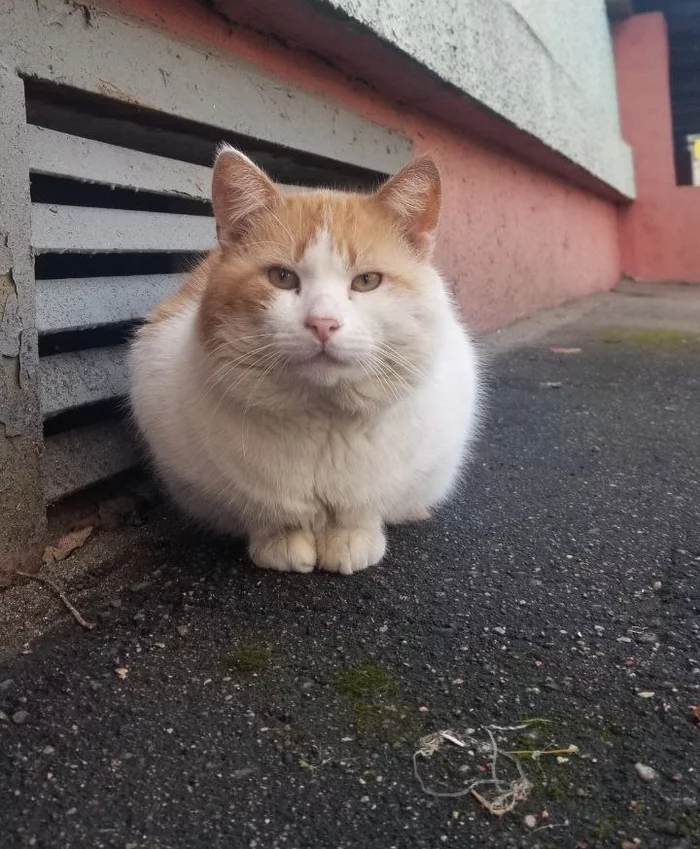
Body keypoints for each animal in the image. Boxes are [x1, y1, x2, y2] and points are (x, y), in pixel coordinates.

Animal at [129, 146, 482, 576]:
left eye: (367, 281)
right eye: (282, 277)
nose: (322, 323)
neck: (323, 421)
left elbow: (363, 511)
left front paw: (352, 540)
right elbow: (269, 517)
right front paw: (281, 543)